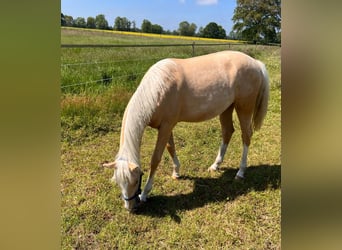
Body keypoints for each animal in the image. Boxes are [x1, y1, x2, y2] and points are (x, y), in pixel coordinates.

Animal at [103, 50, 268, 211]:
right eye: (118, 182)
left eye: (136, 180)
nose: (129, 208)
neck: (158, 89)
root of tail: (256, 63)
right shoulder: (166, 127)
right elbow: (170, 148)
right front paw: (176, 172)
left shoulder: (166, 126)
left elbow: (155, 159)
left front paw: (145, 194)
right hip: (227, 108)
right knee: (228, 132)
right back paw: (215, 165)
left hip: (244, 108)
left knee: (246, 135)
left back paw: (241, 172)